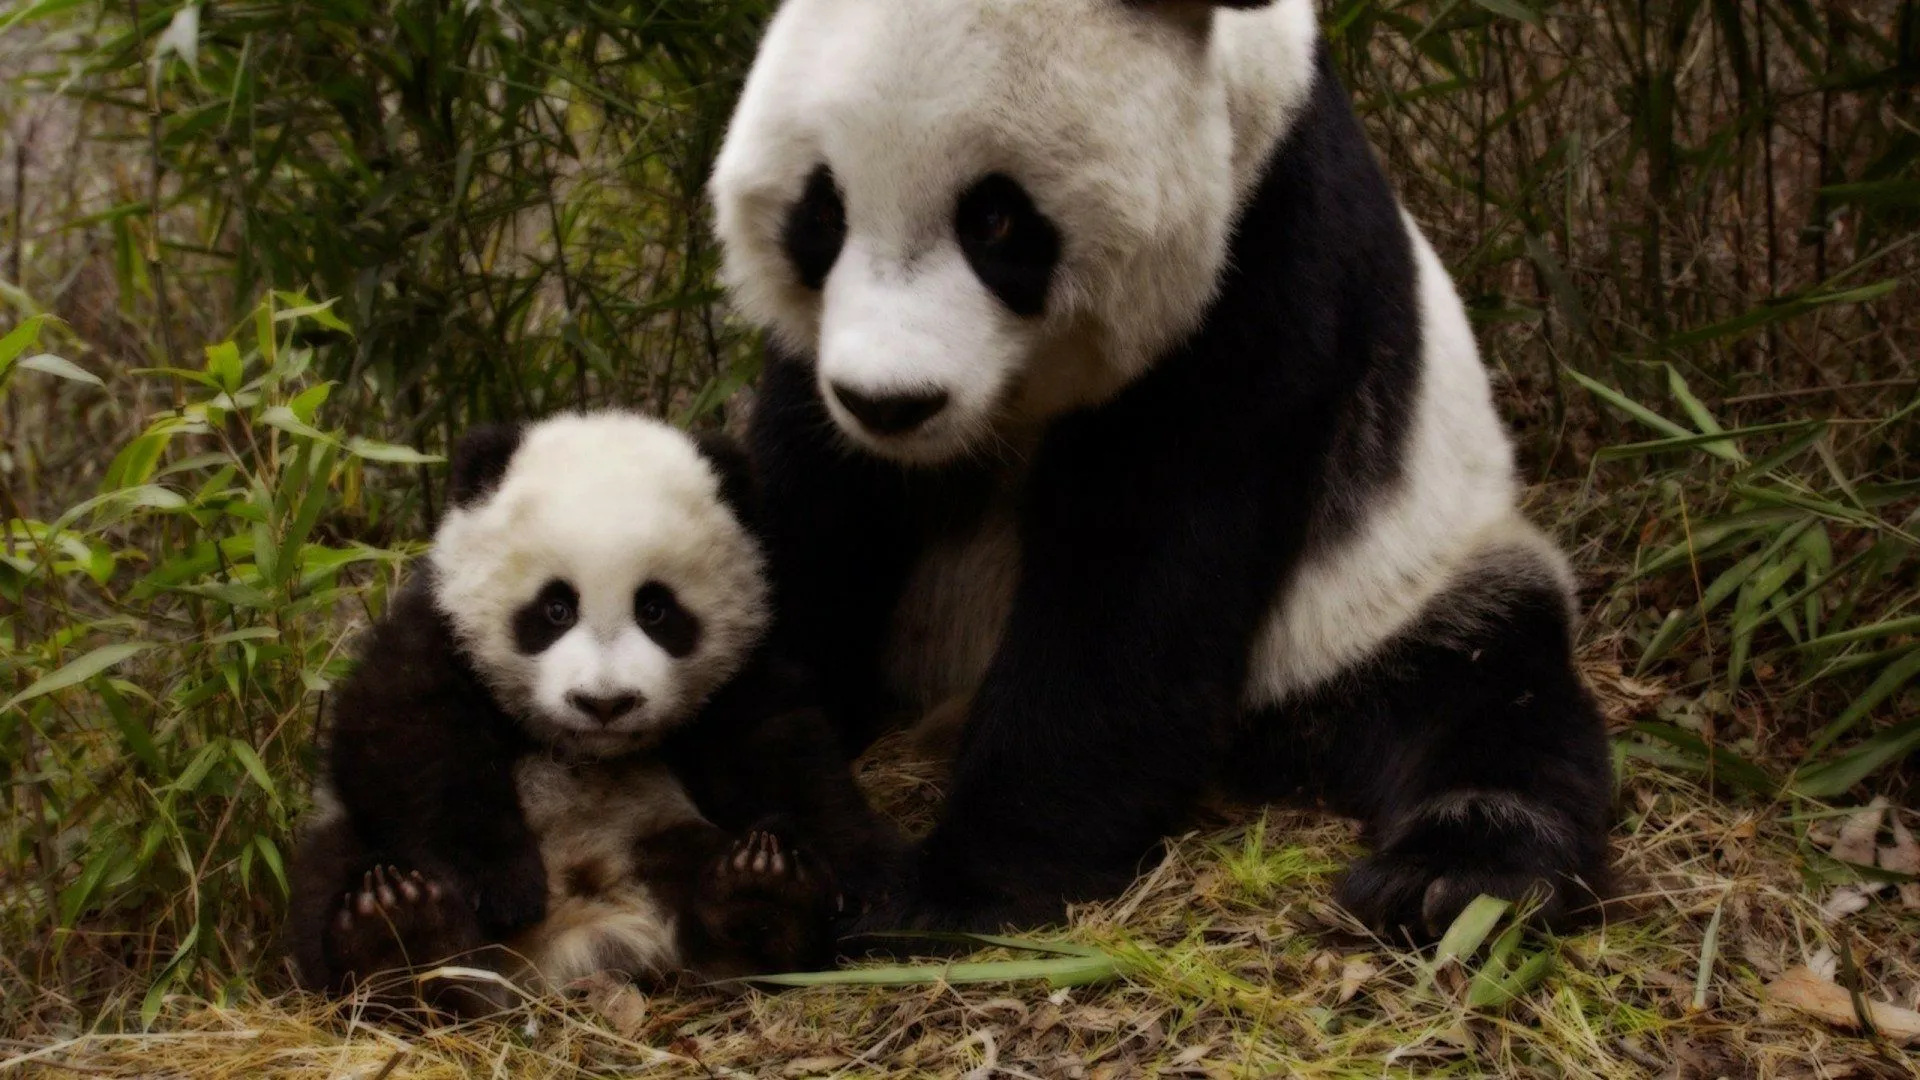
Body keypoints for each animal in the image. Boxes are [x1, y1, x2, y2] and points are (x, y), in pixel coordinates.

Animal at [286, 412, 899, 1014]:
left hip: (655, 832)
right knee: (331, 873)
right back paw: (398, 939)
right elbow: (405, 737)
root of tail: (574, 940)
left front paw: (863, 884)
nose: (604, 702)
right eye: (555, 608)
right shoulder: (437, 629)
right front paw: (501, 886)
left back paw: (762, 900)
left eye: (656, 609)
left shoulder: (739, 669)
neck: (585, 751)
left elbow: (783, 749)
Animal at [707, 0, 1613, 942]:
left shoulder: (1261, 256)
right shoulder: (817, 375)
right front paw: (778, 823)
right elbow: (813, 514)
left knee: (1486, 691)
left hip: (1396, 584)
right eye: (823, 211)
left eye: (993, 220)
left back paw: (1450, 878)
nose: (889, 403)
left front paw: (957, 887)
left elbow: (1139, 575)